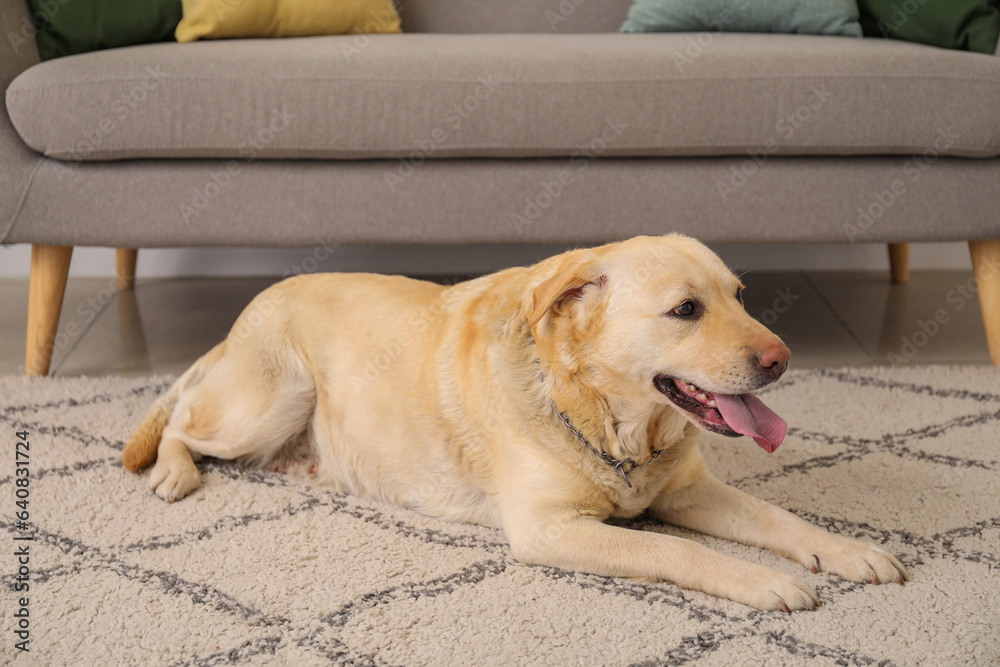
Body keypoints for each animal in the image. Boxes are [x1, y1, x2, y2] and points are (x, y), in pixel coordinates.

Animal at [123, 235, 908, 612]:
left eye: (739, 296)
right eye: (686, 310)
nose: (781, 357)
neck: (612, 420)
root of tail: (245, 313)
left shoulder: (690, 491)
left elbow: (781, 519)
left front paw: (849, 551)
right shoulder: (552, 529)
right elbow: (675, 551)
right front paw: (762, 581)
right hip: (272, 399)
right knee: (181, 423)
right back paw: (171, 472)